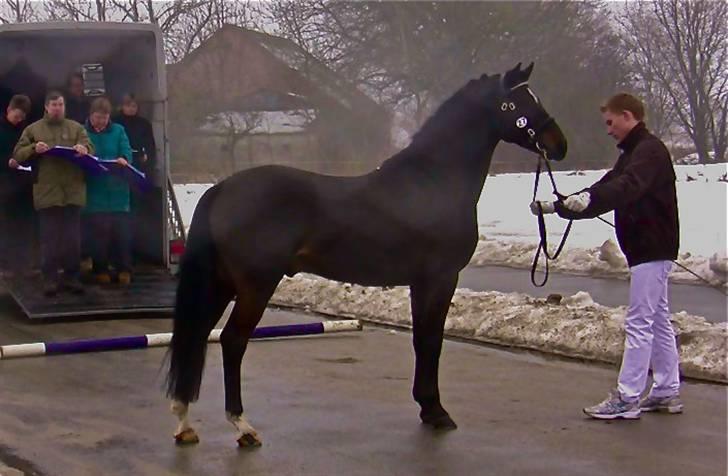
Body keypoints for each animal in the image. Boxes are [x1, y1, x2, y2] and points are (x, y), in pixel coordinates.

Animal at [166, 62, 568, 447]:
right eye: (516, 104)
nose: (559, 144)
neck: (432, 185)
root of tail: (220, 189)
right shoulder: (440, 279)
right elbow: (431, 342)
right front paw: (437, 412)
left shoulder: (421, 283)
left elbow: (422, 340)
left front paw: (427, 408)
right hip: (254, 286)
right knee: (232, 341)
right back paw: (243, 426)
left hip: (221, 284)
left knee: (197, 335)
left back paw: (185, 423)